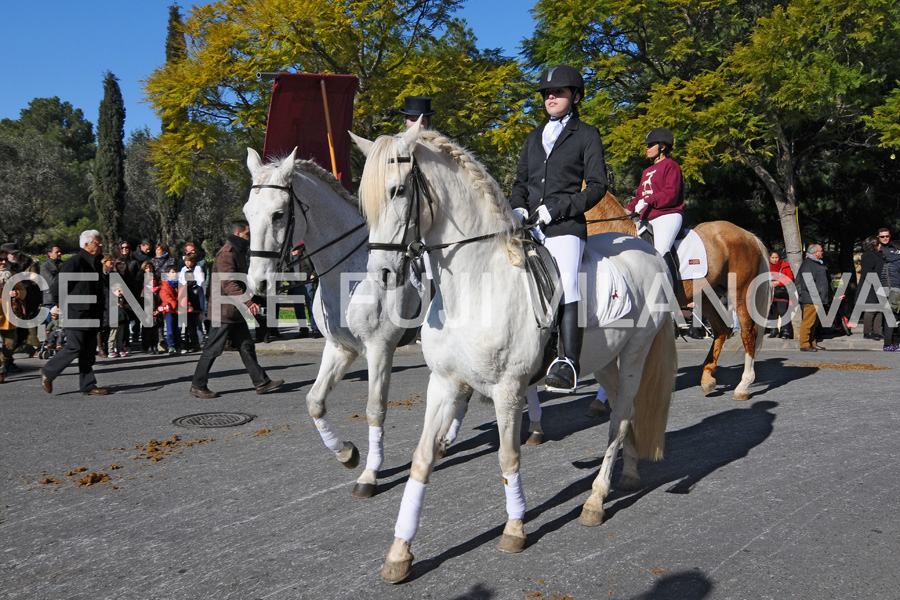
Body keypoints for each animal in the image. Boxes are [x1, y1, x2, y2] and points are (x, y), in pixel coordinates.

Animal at [243, 149, 426, 496]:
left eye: (278, 214)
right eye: (247, 214)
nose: (258, 284)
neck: (351, 272)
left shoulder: (380, 349)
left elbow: (375, 409)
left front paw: (369, 474)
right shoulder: (340, 348)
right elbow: (314, 401)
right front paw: (347, 454)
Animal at [352, 124, 676, 584]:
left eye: (397, 191)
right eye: (364, 202)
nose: (381, 275)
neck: (474, 283)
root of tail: (648, 252)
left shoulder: (507, 390)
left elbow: (508, 456)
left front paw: (515, 529)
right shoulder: (444, 384)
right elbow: (422, 459)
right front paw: (399, 553)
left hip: (634, 356)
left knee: (619, 419)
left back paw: (595, 502)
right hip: (603, 363)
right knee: (624, 412)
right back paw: (628, 473)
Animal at [588, 195, 768, 404]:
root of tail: (748, 235)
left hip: (740, 291)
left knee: (748, 332)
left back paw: (743, 386)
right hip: (706, 295)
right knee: (722, 328)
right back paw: (707, 378)